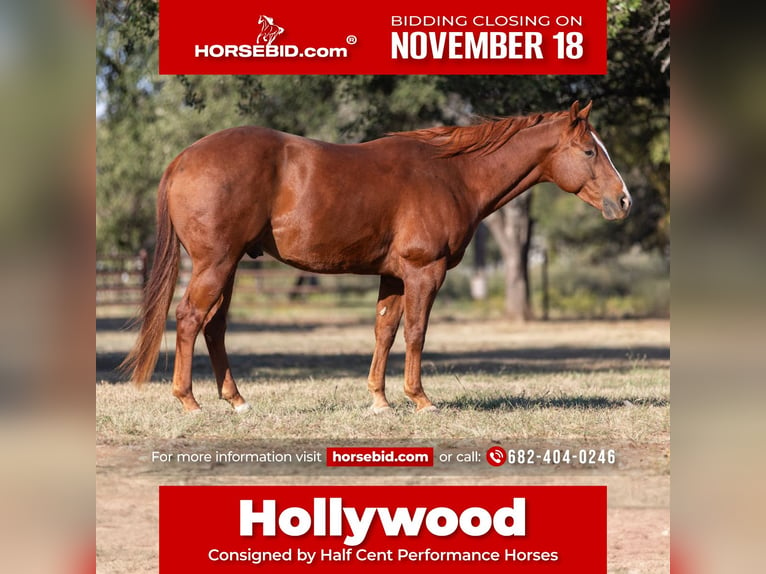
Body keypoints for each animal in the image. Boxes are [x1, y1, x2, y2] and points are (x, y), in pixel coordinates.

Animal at [121, 102, 636, 414]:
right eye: (589, 151)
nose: (624, 201)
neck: (452, 174)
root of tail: (184, 158)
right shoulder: (424, 273)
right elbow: (415, 333)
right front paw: (420, 399)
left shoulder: (393, 277)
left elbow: (384, 332)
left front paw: (380, 401)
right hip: (216, 264)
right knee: (191, 319)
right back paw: (189, 401)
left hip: (227, 267)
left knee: (214, 327)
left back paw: (237, 400)